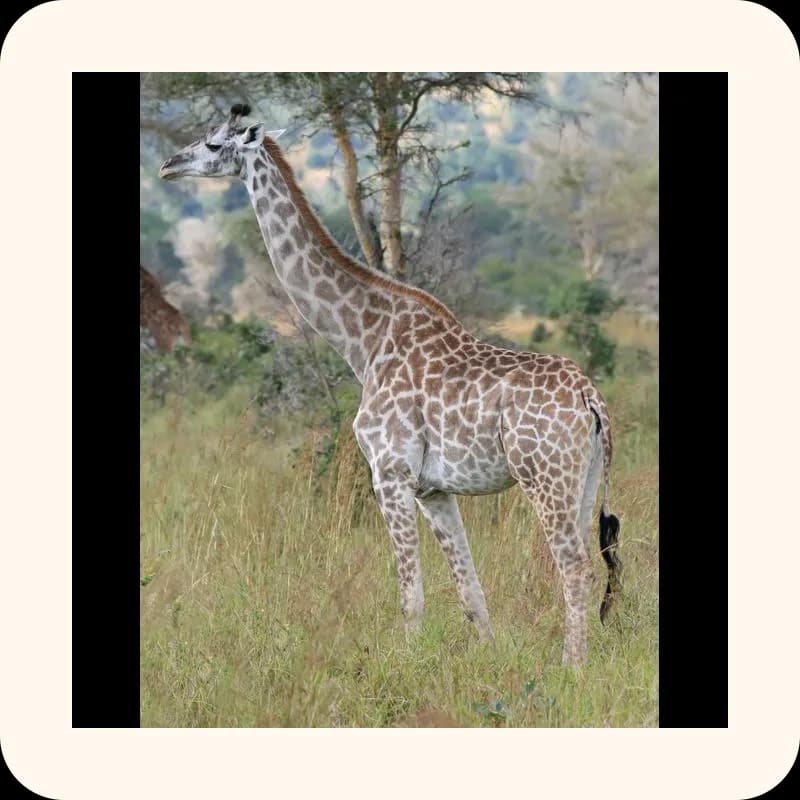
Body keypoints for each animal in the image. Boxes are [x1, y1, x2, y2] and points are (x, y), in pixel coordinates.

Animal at [159, 104, 621, 665]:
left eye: (211, 143)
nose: (167, 166)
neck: (363, 341)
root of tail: (591, 399)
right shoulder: (434, 489)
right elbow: (470, 592)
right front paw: (489, 660)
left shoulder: (389, 472)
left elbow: (410, 595)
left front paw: (404, 667)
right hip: (585, 477)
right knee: (584, 563)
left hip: (543, 474)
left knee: (574, 567)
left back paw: (571, 668)